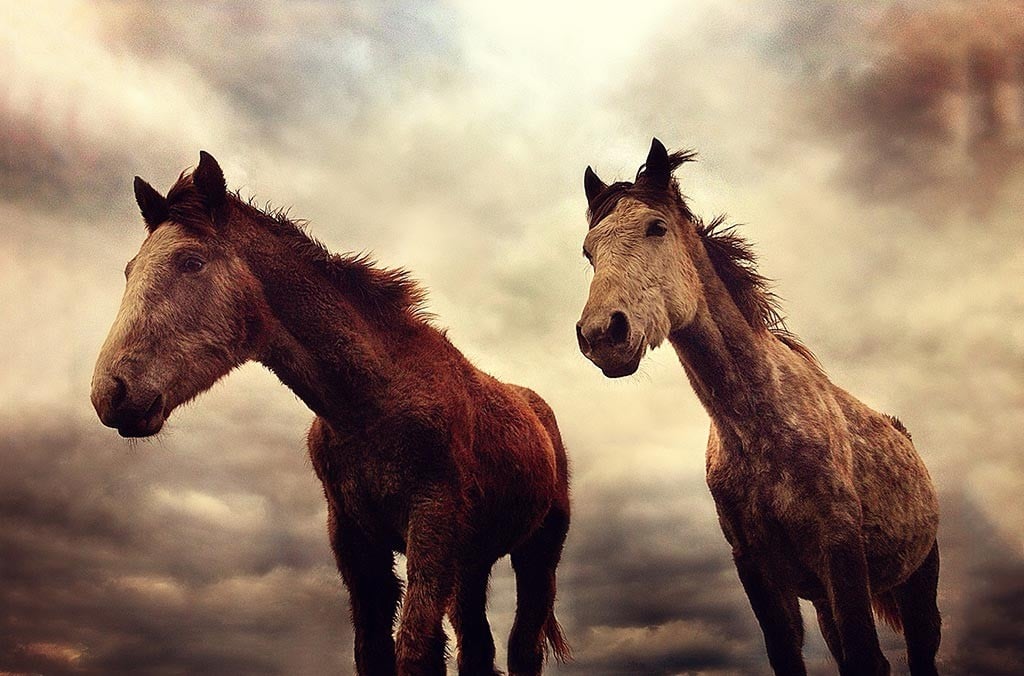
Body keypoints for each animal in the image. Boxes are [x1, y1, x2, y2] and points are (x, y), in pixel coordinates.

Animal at [89, 151, 573, 676]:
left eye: (191, 262)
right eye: (129, 270)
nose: (109, 394)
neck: (371, 406)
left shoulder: (432, 525)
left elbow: (414, 650)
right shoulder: (354, 539)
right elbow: (373, 651)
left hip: (536, 555)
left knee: (522, 646)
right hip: (473, 564)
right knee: (478, 647)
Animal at [573, 140, 937, 671]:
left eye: (656, 227)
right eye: (588, 251)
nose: (602, 335)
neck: (758, 425)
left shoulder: (841, 549)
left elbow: (867, 658)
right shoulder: (759, 568)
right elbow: (789, 655)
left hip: (918, 580)